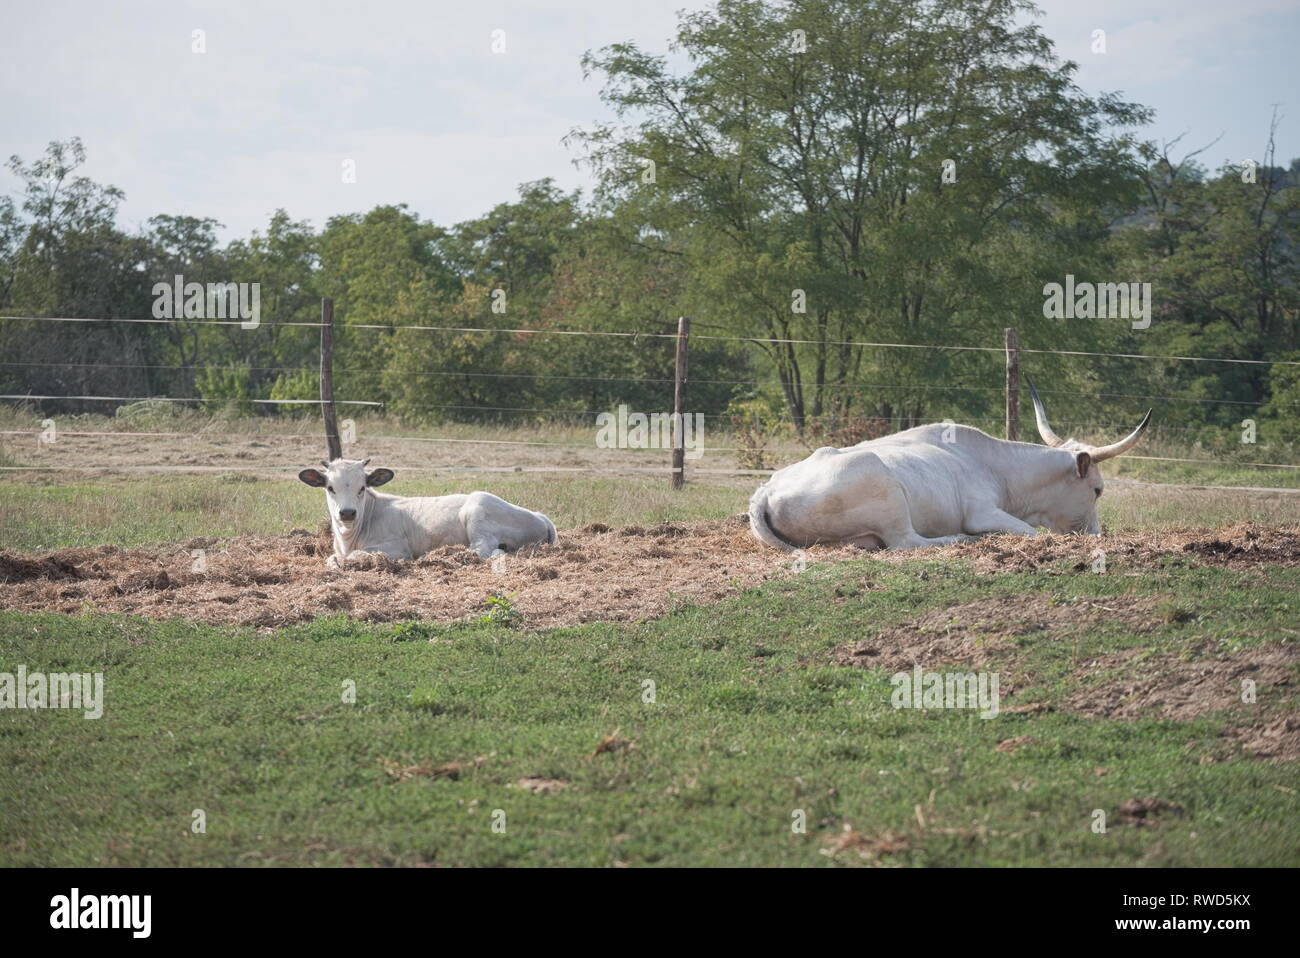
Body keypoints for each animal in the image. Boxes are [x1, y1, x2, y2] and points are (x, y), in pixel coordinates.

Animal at [297, 457, 556, 566]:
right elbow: (331, 558)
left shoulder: (396, 547)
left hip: (478, 510)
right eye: (330, 488)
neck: (348, 539)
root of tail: (540, 516)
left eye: (362, 487)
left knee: (483, 550)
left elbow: (354, 556)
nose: (348, 513)